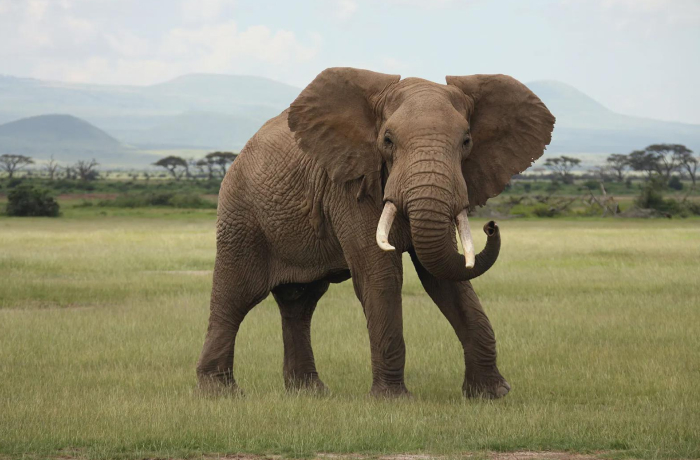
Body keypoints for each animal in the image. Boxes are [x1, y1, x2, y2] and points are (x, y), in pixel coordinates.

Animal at [196, 67, 555, 399]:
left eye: (466, 142)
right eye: (388, 141)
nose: (491, 226)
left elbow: (445, 277)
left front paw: (492, 395)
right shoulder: (350, 185)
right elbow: (381, 274)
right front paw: (393, 400)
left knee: (300, 304)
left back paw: (310, 394)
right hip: (240, 215)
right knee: (235, 296)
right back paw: (220, 393)